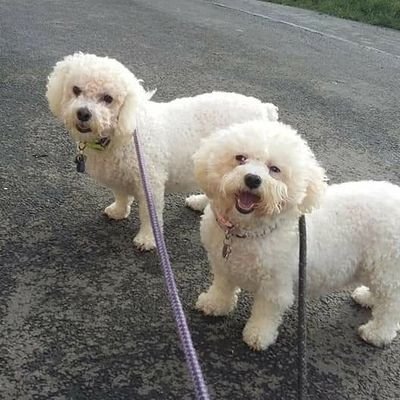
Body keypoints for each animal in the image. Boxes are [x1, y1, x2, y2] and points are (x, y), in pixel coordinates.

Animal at [46, 51, 278, 248]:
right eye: (76, 90)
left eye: (108, 98)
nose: (83, 113)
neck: (122, 134)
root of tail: (264, 109)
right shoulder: (118, 177)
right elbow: (121, 195)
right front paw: (118, 211)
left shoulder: (150, 182)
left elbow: (150, 214)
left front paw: (147, 239)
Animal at [193, 119, 400, 350]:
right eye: (240, 158)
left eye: (274, 169)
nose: (253, 179)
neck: (247, 230)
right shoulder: (223, 266)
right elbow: (223, 286)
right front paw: (214, 304)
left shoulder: (275, 285)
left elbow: (265, 312)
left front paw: (258, 335)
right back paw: (367, 297)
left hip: (388, 267)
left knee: (391, 305)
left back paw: (377, 333)